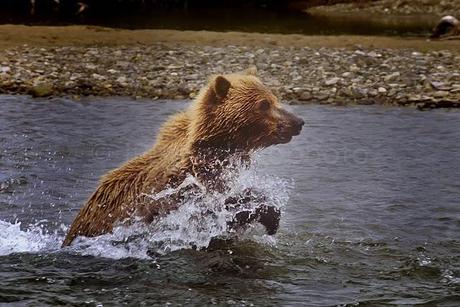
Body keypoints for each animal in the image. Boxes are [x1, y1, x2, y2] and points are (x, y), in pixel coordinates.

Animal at [62, 68, 306, 248]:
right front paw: (267, 213)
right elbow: (210, 215)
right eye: (263, 104)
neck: (214, 147)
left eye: (275, 98)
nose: (298, 122)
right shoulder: (180, 186)